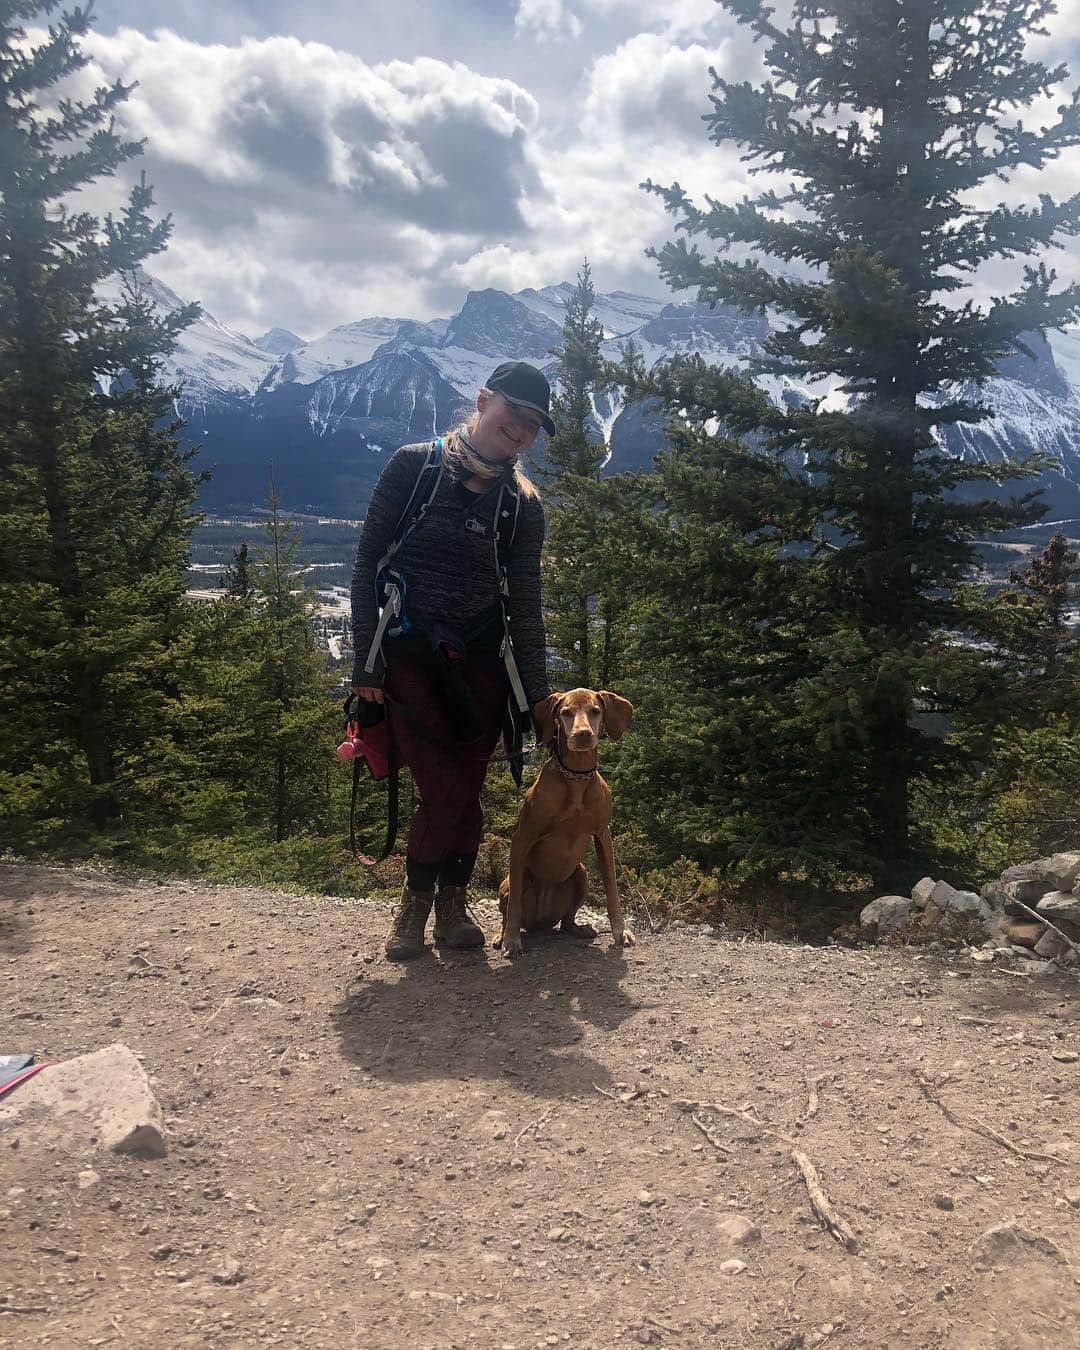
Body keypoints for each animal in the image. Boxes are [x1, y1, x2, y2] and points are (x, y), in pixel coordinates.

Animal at [496, 685, 637, 961]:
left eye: (595, 711)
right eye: (566, 712)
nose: (583, 735)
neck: (576, 777)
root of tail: (541, 923)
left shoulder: (602, 834)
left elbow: (612, 889)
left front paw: (620, 931)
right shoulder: (522, 836)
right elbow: (515, 904)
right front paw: (512, 941)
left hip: (580, 873)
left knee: (566, 920)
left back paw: (578, 928)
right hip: (509, 882)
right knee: (508, 910)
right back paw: (502, 935)